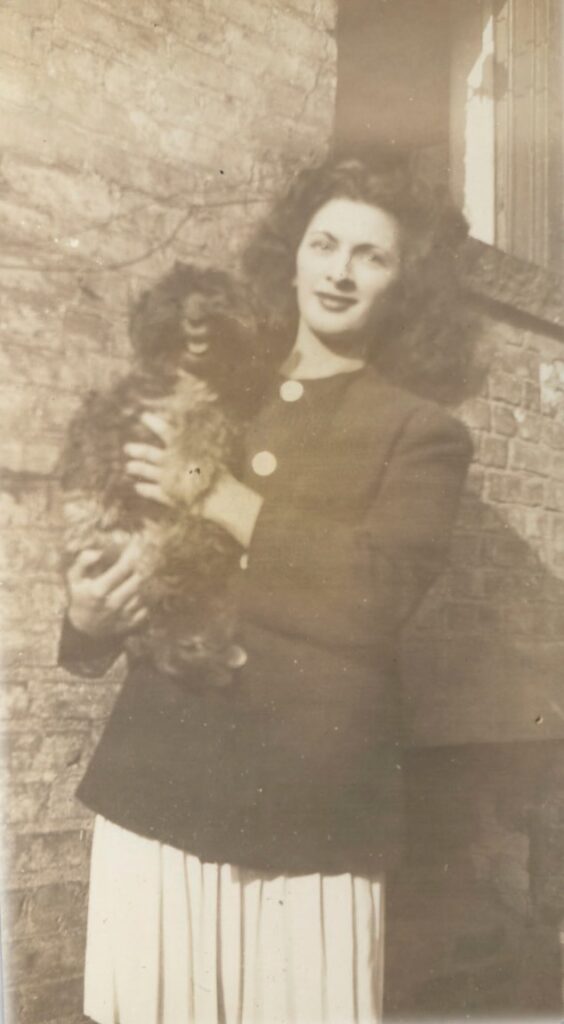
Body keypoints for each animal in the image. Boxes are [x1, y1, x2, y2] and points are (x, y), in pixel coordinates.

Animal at [58, 260, 268, 684]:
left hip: (201, 558)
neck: (190, 379)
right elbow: (90, 452)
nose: (197, 316)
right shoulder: (118, 409)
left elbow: (201, 429)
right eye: (175, 297)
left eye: (217, 295)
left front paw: (180, 472)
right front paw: (85, 513)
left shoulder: (219, 418)